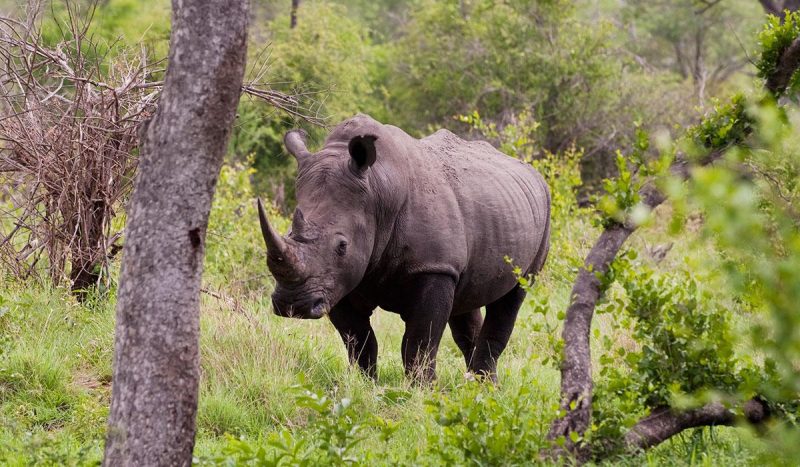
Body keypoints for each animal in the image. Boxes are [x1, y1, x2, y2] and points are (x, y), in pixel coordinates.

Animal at [257, 114, 550, 382]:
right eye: (289, 233)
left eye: (342, 246)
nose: (292, 305)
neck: (378, 188)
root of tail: (534, 173)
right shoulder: (337, 279)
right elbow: (359, 341)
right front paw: (366, 387)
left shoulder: (433, 267)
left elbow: (419, 342)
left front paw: (422, 392)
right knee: (467, 299)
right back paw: (476, 387)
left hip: (542, 216)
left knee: (514, 294)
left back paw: (486, 388)